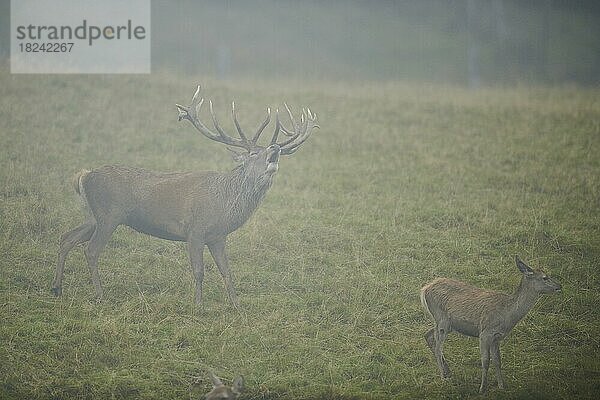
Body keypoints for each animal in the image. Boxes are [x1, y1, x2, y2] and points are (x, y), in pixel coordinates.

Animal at [52, 85, 318, 306]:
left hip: (93, 216)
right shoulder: (195, 230)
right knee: (91, 250)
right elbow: (199, 271)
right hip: (109, 215)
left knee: (67, 238)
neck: (224, 204)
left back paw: (57, 288)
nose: (276, 148)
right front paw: (199, 305)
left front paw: (236, 305)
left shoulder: (218, 236)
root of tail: (84, 176)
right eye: (253, 153)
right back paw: (99, 294)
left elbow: (227, 270)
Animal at [420, 256, 560, 394]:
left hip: (445, 323)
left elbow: (498, 361)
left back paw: (448, 372)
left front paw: (501, 386)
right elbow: (486, 361)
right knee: (438, 348)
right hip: (442, 319)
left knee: (428, 335)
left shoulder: (497, 337)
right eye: (544, 277)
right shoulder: (485, 333)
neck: (507, 314)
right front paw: (482, 388)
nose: (559, 286)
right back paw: (443, 378)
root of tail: (424, 289)